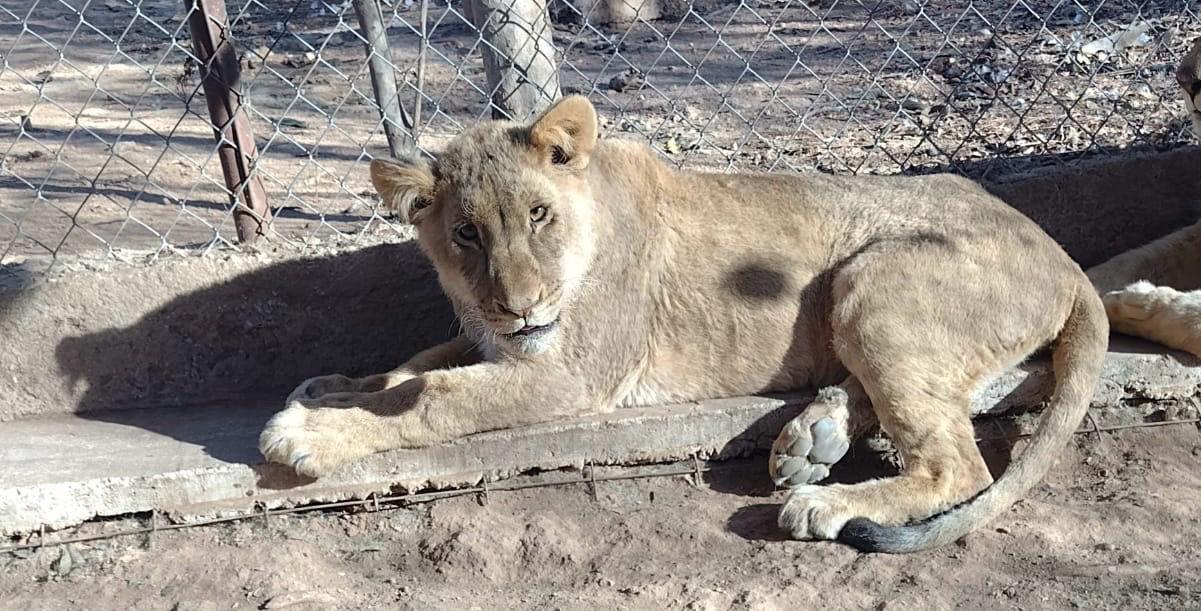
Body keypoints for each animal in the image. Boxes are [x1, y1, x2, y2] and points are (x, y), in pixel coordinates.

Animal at [259, 92, 1108, 554]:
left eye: (537, 214)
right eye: (466, 233)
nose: (522, 304)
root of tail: (1062, 256)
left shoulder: (570, 373)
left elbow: (436, 393)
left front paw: (309, 432)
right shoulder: (494, 338)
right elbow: (412, 363)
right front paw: (327, 388)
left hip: (873, 280)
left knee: (956, 466)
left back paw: (827, 501)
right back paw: (813, 438)